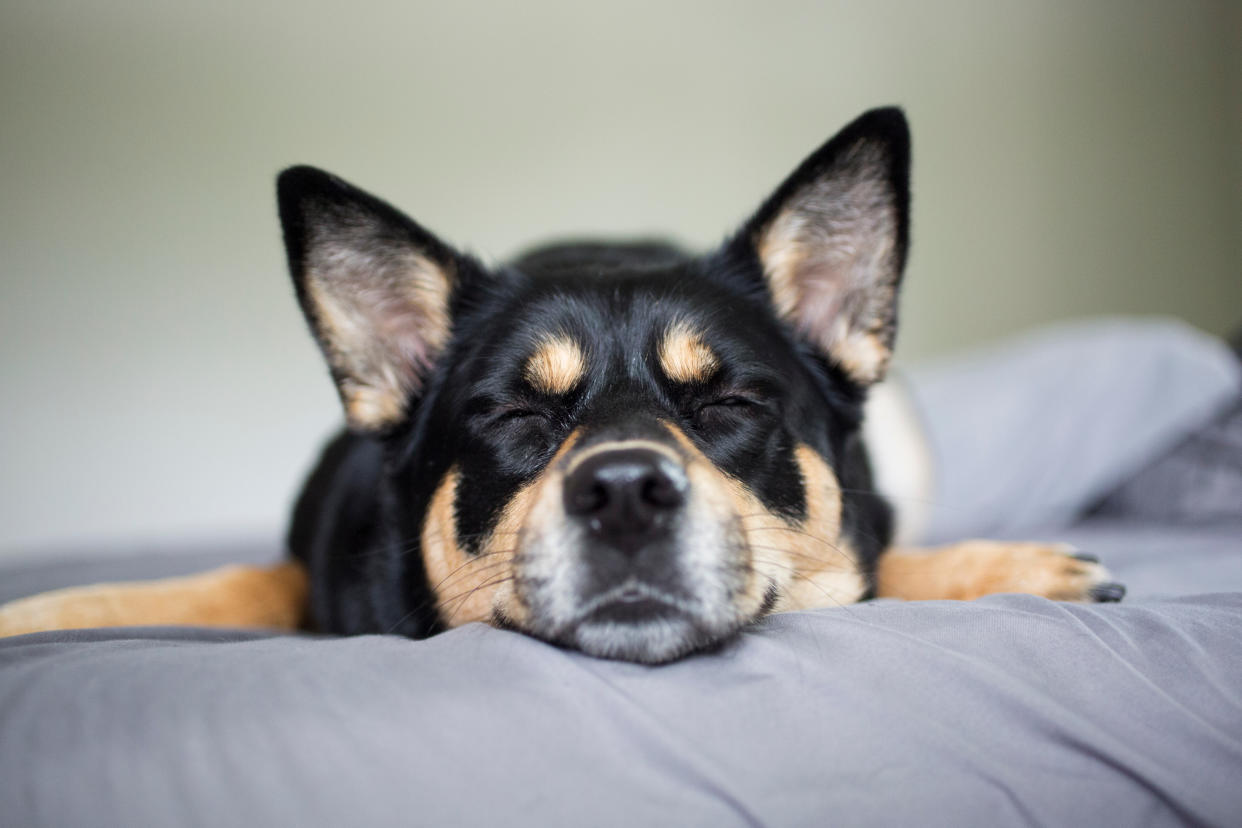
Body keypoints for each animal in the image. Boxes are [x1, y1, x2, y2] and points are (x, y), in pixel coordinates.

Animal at [0, 109, 1127, 665]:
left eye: (728, 406)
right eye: (516, 415)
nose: (625, 494)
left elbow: (875, 565)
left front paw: (1010, 568)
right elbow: (205, 587)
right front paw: (41, 612)